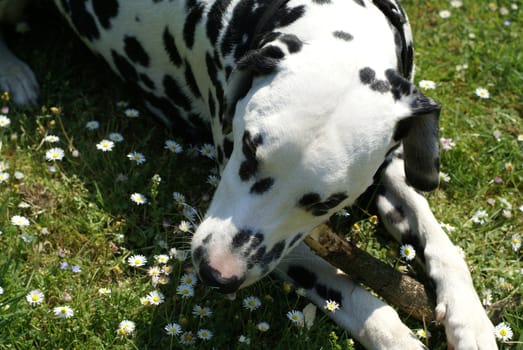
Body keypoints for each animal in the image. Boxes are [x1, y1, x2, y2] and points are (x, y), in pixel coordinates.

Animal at [1, 0, 500, 348]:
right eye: (246, 150)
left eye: (326, 201)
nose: (215, 273)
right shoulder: (282, 250)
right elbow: (353, 292)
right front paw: (396, 337)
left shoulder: (391, 164)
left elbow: (439, 238)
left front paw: (470, 319)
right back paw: (15, 74)